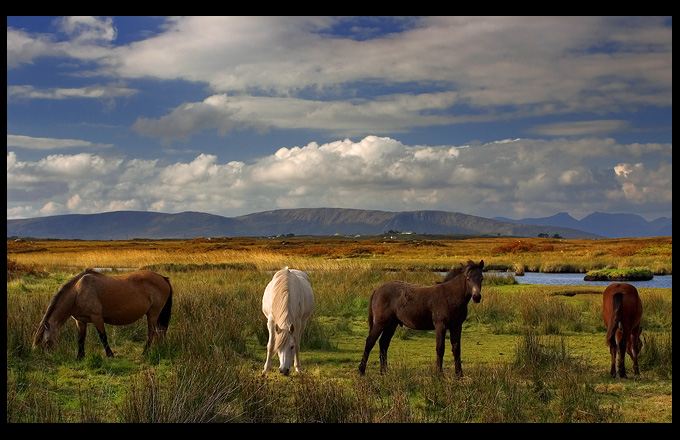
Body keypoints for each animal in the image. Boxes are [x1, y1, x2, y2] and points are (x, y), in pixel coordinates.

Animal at [34, 268, 173, 358]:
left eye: (47, 342)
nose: (49, 357)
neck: (78, 292)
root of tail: (163, 278)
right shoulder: (80, 320)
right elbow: (80, 338)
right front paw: (80, 356)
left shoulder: (97, 317)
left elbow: (103, 337)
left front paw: (110, 354)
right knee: (159, 331)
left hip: (153, 313)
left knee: (151, 332)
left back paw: (145, 352)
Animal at [358, 260, 486, 376]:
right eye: (468, 278)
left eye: (481, 278)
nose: (477, 297)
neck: (450, 296)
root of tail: (377, 290)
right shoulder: (440, 325)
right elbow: (440, 348)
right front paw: (439, 374)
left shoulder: (457, 326)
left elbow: (456, 349)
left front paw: (459, 374)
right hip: (380, 324)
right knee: (370, 342)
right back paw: (362, 371)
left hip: (391, 325)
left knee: (383, 343)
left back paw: (384, 372)